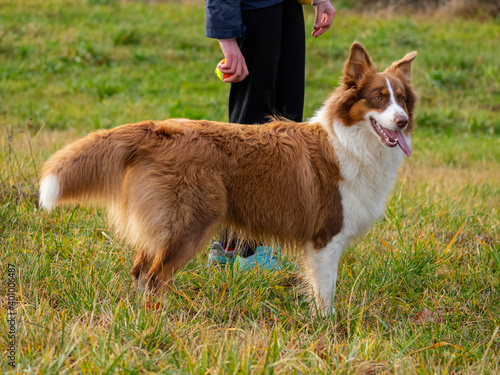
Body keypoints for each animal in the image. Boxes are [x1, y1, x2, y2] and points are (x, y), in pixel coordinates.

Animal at [39, 42, 416, 316]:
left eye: (402, 99)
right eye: (378, 98)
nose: (402, 121)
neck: (350, 141)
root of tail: (159, 130)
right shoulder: (327, 237)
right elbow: (325, 294)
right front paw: (328, 330)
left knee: (139, 273)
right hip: (188, 226)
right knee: (154, 278)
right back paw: (158, 320)